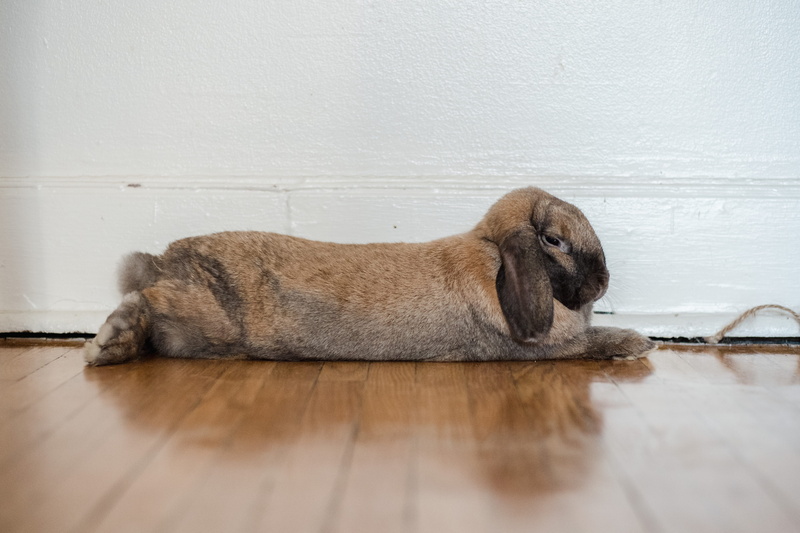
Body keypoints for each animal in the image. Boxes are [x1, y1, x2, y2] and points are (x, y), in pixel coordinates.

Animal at [83, 187, 656, 366]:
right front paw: (638, 343)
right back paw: (105, 343)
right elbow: (592, 342)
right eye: (553, 241)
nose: (603, 282)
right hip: (206, 316)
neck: (492, 255)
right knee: (146, 301)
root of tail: (162, 260)